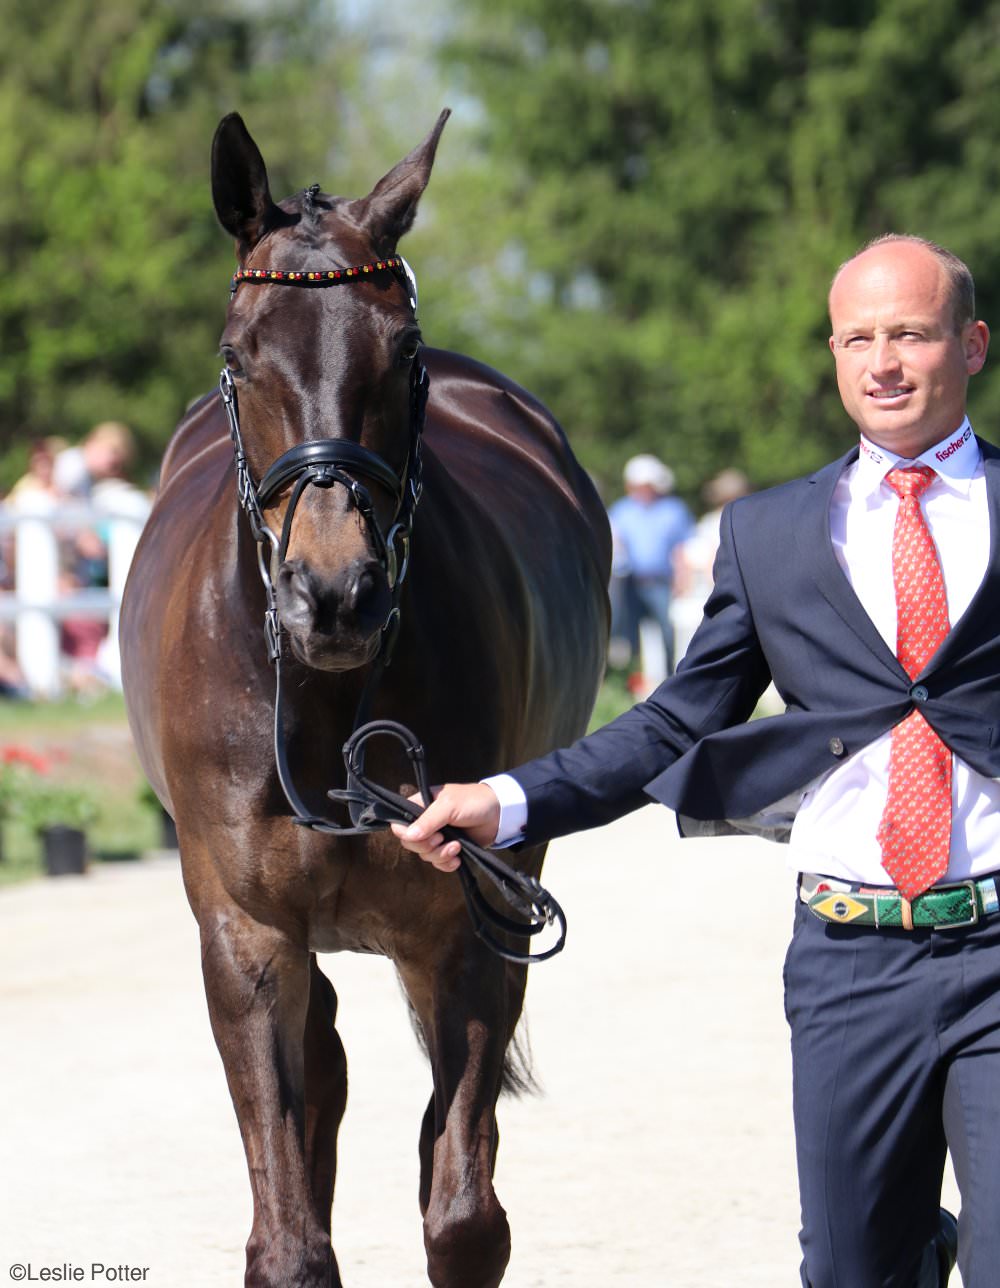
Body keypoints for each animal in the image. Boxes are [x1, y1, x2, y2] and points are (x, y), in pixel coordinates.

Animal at [121, 113, 613, 1288]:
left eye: (403, 354)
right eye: (240, 357)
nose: (334, 595)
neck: (321, 710)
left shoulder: (472, 927)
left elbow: (464, 1213)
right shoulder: (245, 935)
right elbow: (290, 1233)